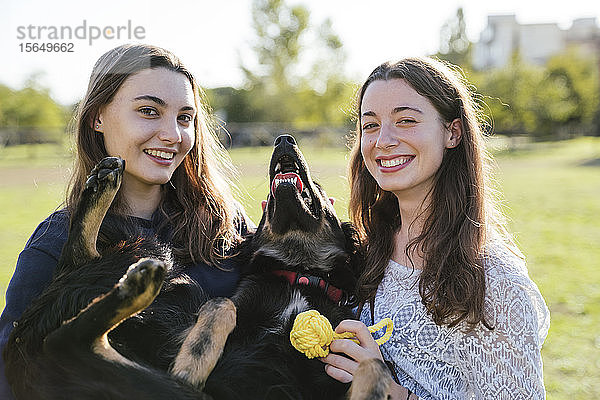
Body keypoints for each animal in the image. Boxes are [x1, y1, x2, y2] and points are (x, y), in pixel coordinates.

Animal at [3, 135, 394, 400]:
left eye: (323, 192)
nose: (284, 139)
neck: (301, 273)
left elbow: (374, 365)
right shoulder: (235, 303)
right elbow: (220, 308)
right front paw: (192, 364)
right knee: (65, 325)